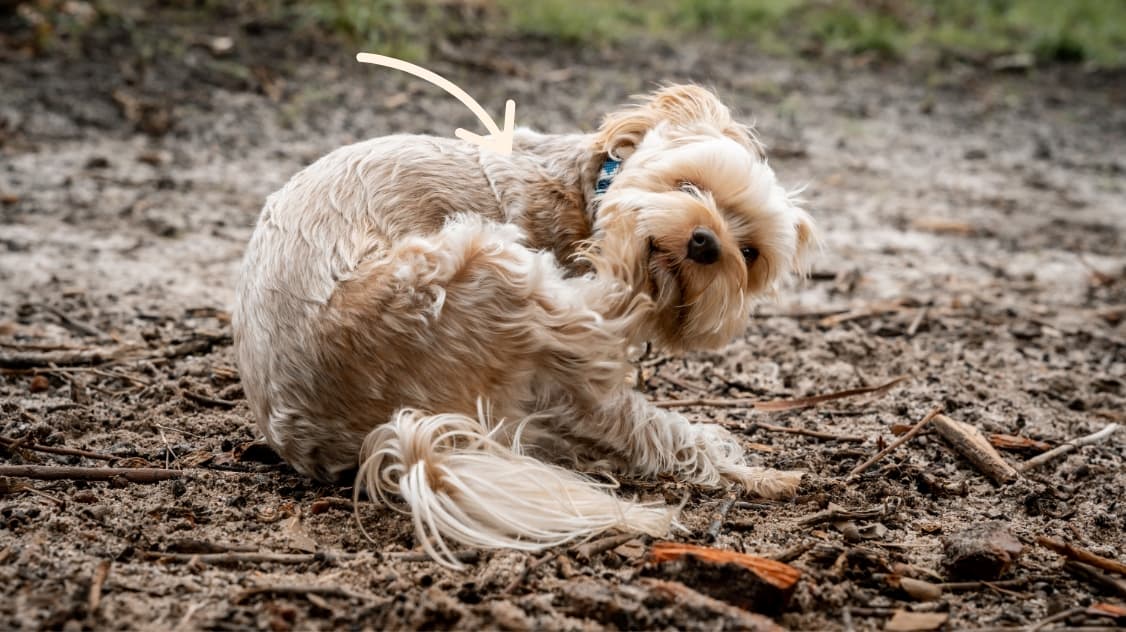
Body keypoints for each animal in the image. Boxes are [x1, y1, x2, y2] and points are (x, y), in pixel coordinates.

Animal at [235, 83, 819, 561]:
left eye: (750, 253)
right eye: (689, 184)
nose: (706, 243)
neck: (587, 192)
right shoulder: (568, 378)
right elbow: (653, 423)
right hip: (476, 260)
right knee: (611, 305)